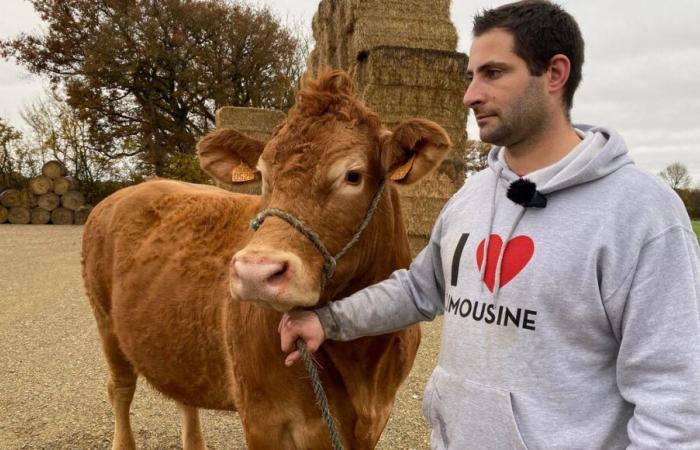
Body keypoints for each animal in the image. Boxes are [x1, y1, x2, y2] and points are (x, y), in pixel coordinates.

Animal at [82, 68, 452, 448]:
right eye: (262, 175)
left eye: (353, 175)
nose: (254, 272)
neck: (363, 362)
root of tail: (131, 189)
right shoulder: (264, 420)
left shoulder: (374, 421)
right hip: (105, 321)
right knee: (120, 388)